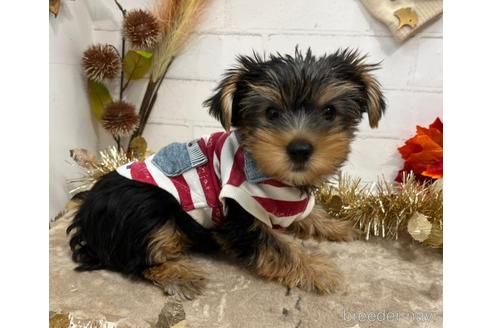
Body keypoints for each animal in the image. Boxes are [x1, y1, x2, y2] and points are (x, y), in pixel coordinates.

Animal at [67, 48, 386, 300]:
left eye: (329, 111)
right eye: (271, 113)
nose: (300, 149)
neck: (268, 172)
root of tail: (85, 214)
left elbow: (308, 211)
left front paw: (336, 226)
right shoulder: (238, 212)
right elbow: (277, 245)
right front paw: (320, 269)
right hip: (144, 209)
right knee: (137, 258)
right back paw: (180, 274)